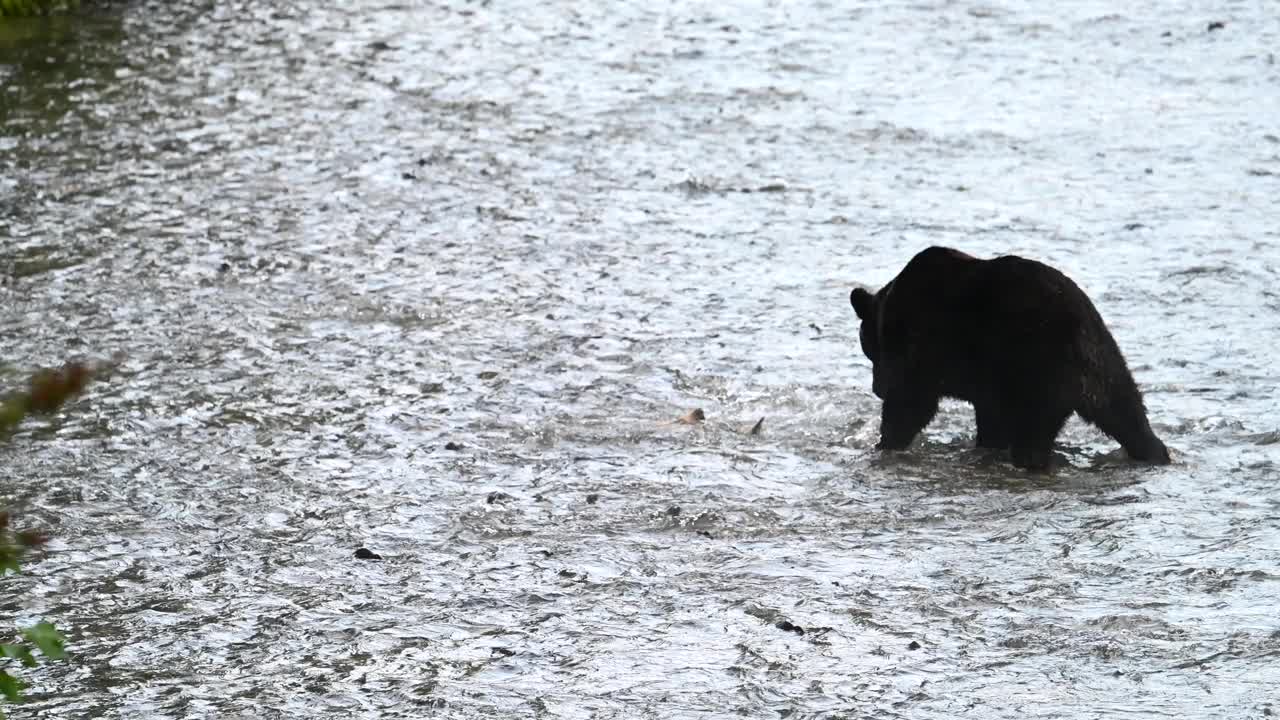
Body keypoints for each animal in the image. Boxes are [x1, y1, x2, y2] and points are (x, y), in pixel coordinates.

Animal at [849, 245, 1172, 471]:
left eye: (869, 350)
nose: (877, 388)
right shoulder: (988, 380)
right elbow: (990, 417)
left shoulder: (923, 344)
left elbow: (911, 401)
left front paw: (886, 442)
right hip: (1106, 364)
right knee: (1128, 413)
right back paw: (1155, 453)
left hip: (1038, 368)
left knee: (1034, 430)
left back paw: (1029, 460)